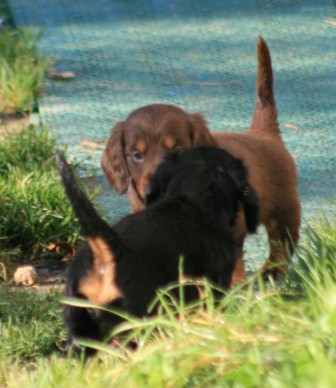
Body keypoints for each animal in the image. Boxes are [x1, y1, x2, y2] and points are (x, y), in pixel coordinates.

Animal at [101, 38, 300, 284]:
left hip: (284, 207)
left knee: (283, 243)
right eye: (137, 155)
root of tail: (263, 132)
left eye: (176, 150)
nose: (152, 189)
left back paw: (271, 273)